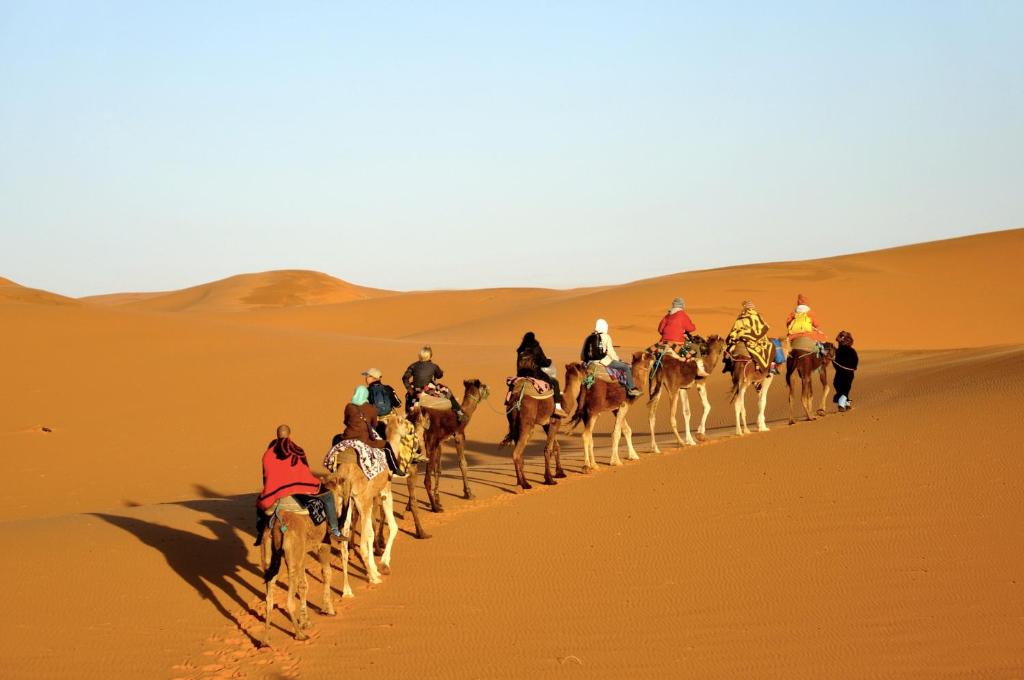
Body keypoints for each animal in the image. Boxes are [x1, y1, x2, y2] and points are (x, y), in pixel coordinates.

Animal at [260, 473, 344, 643]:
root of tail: (278, 523)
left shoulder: (302, 552)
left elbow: (303, 584)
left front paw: (305, 621)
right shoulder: (322, 544)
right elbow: (327, 574)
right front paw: (329, 610)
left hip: (269, 552)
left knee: (269, 596)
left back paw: (265, 639)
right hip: (292, 551)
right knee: (289, 598)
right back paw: (299, 635)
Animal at [405, 376, 489, 516]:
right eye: (483, 386)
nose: (489, 390)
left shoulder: (440, 442)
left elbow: (438, 470)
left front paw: (438, 498)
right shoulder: (458, 435)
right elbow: (463, 463)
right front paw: (468, 493)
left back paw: (411, 506)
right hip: (429, 443)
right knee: (426, 479)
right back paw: (435, 508)